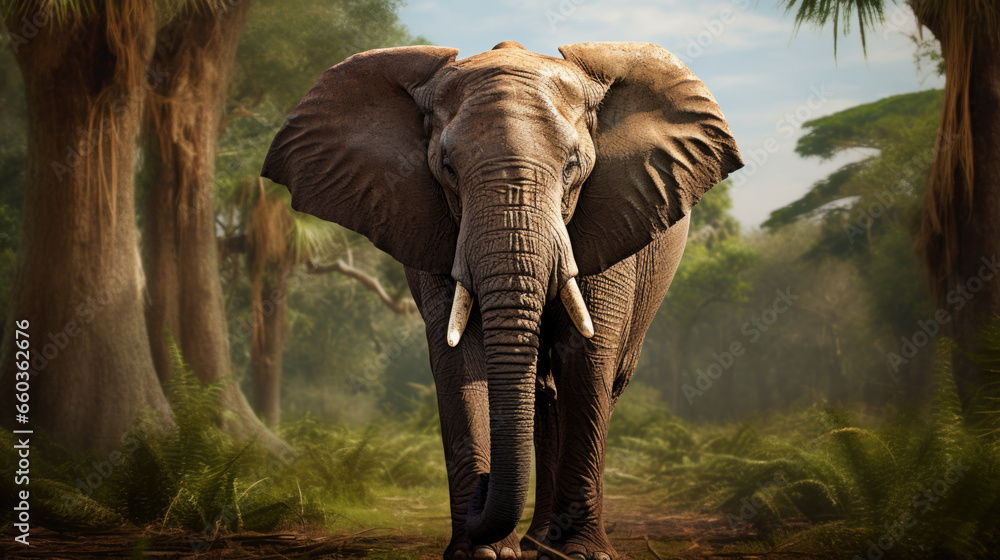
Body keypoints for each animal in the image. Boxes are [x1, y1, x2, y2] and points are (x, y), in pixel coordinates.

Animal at [262, 41, 742, 560]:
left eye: (573, 167)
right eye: (447, 169)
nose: (484, 486)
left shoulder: (614, 212)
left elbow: (587, 355)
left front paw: (585, 555)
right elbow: (457, 358)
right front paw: (482, 553)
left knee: (600, 382)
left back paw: (553, 543)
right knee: (543, 393)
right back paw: (537, 542)